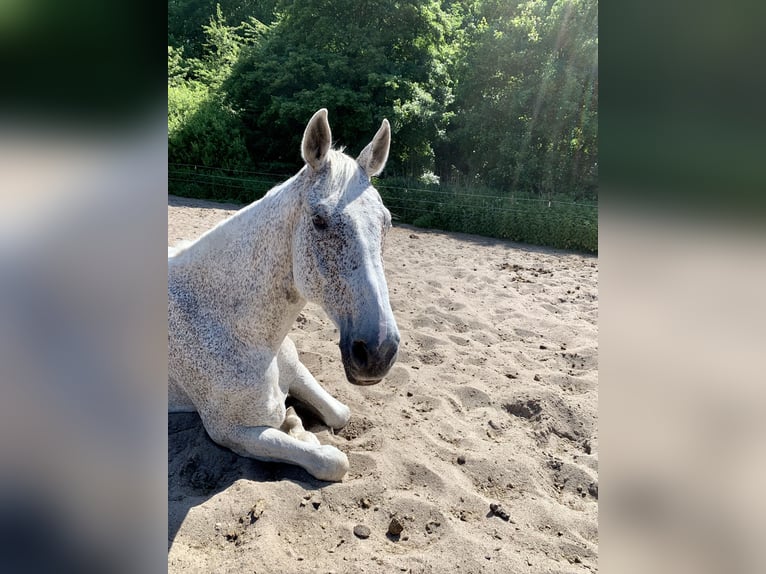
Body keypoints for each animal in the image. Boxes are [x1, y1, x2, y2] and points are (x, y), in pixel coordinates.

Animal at [169, 108, 402, 482]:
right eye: (319, 220)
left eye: (387, 223)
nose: (378, 352)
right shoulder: (230, 432)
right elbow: (331, 460)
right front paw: (298, 428)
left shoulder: (298, 372)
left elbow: (341, 414)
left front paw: (296, 421)